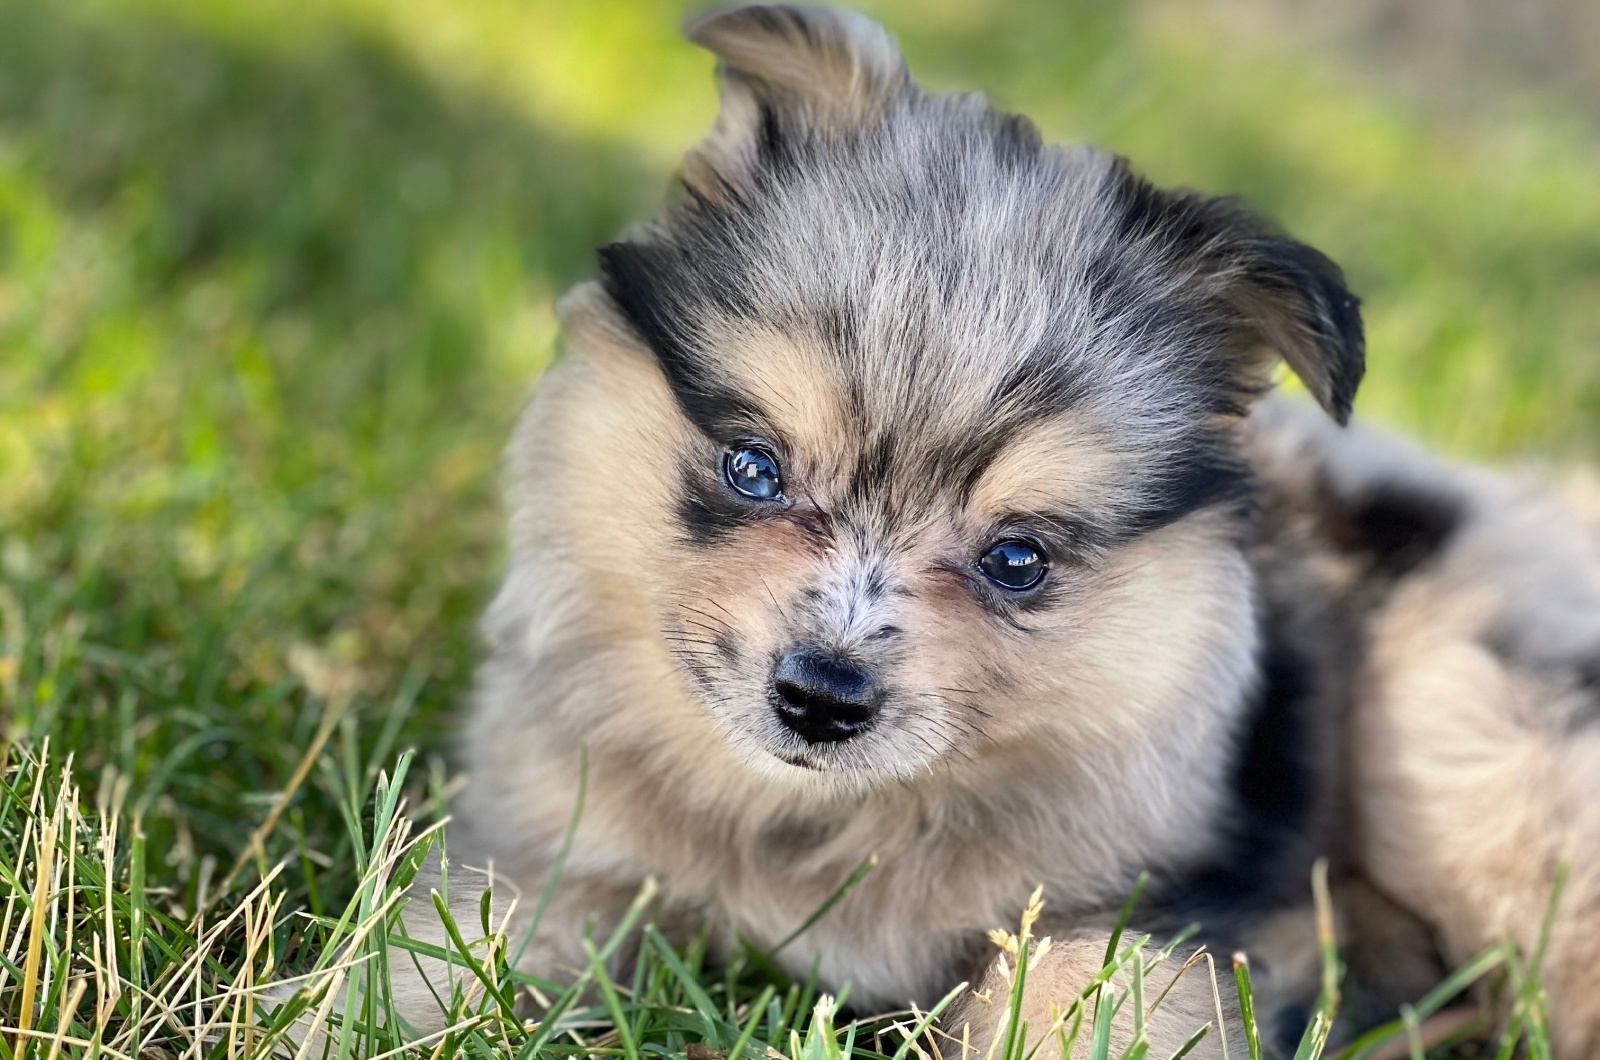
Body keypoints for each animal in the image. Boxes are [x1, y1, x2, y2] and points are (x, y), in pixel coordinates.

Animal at [380, 8, 1600, 1060]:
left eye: (1016, 560)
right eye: (753, 468)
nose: (821, 699)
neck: (817, 824)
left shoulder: (1131, 905)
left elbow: (1085, 995)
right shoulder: (548, 846)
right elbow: (458, 946)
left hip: (1460, 739)